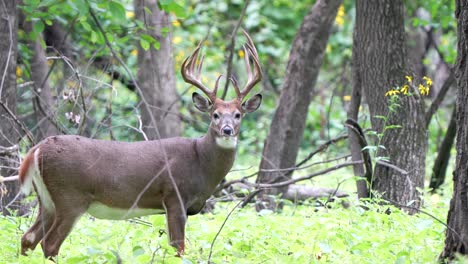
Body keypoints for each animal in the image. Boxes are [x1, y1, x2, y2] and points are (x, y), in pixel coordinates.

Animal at [18, 31, 262, 260]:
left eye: (238, 114)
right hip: (70, 196)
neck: (200, 161)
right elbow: (178, 248)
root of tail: (37, 149)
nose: (227, 130)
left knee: (28, 238)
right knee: (50, 243)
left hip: (47, 199)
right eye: (215, 115)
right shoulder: (174, 195)